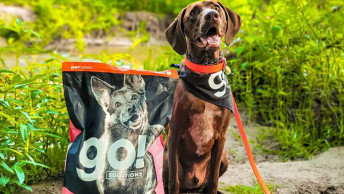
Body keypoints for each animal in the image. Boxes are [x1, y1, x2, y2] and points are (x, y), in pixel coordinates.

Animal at [163, 0, 241, 193]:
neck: (205, 69)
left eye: (216, 7)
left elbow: (213, 180)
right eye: (193, 12)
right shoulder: (174, 135)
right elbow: (174, 181)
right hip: (166, 155)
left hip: (224, 157)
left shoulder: (221, 138)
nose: (211, 15)